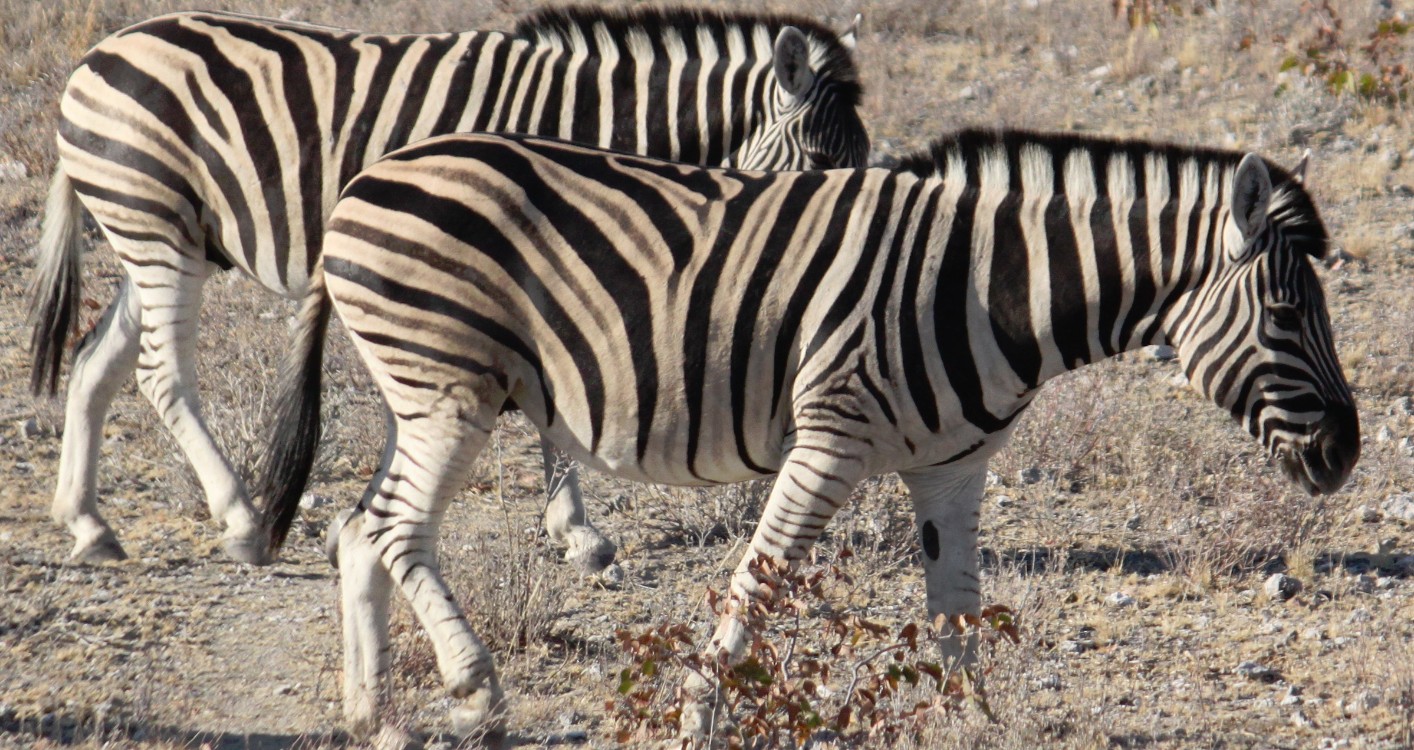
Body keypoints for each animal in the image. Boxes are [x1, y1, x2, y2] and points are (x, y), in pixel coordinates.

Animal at [30, 5, 871, 566]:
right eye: (821, 165)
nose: (844, 263)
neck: (591, 123)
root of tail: (99, 53)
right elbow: (558, 407)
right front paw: (579, 532)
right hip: (156, 224)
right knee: (159, 372)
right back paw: (238, 517)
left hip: (162, 235)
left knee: (97, 359)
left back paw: (87, 525)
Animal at [263, 130, 1357, 735]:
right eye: (1285, 315)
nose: (1346, 457)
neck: (992, 287)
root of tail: (362, 183)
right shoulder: (827, 438)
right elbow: (763, 576)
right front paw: (703, 708)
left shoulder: (954, 469)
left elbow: (957, 612)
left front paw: (960, 724)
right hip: (448, 386)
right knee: (395, 530)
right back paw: (477, 693)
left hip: (422, 394)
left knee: (358, 531)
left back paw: (375, 715)